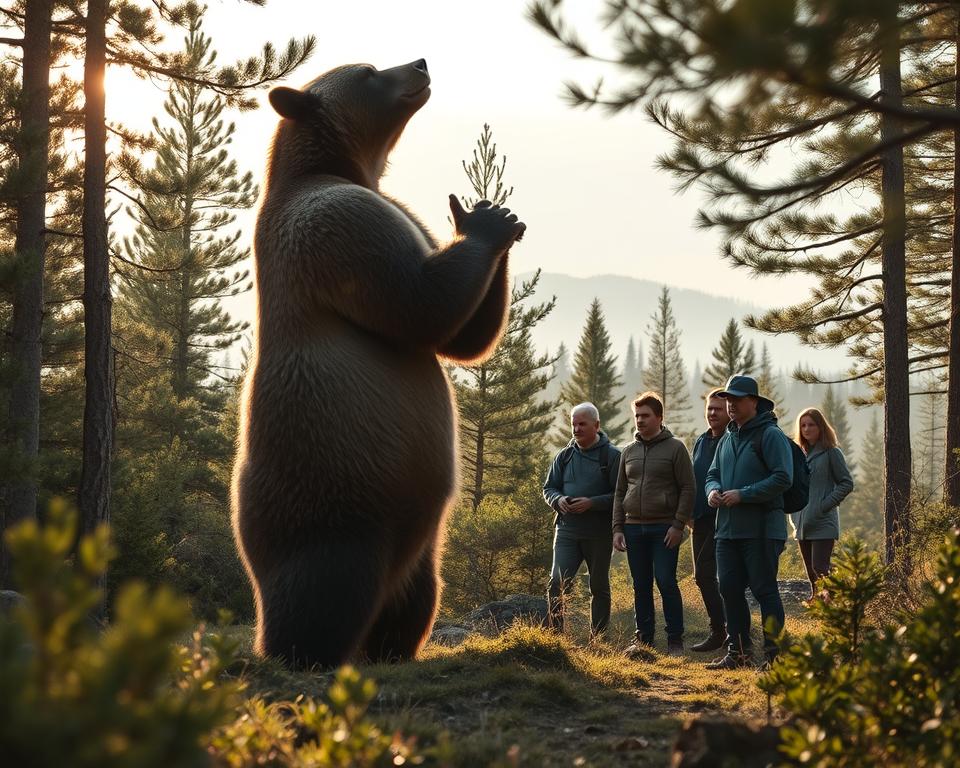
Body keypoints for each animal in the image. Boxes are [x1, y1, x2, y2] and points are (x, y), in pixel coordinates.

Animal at [230, 59, 525, 669]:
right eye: (368, 71)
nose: (420, 63)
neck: (349, 169)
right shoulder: (336, 224)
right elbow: (417, 303)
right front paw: (484, 222)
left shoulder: (401, 212)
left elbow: (462, 336)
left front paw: (488, 211)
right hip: (335, 504)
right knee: (322, 597)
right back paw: (301, 652)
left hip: (420, 550)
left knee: (413, 600)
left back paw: (392, 651)